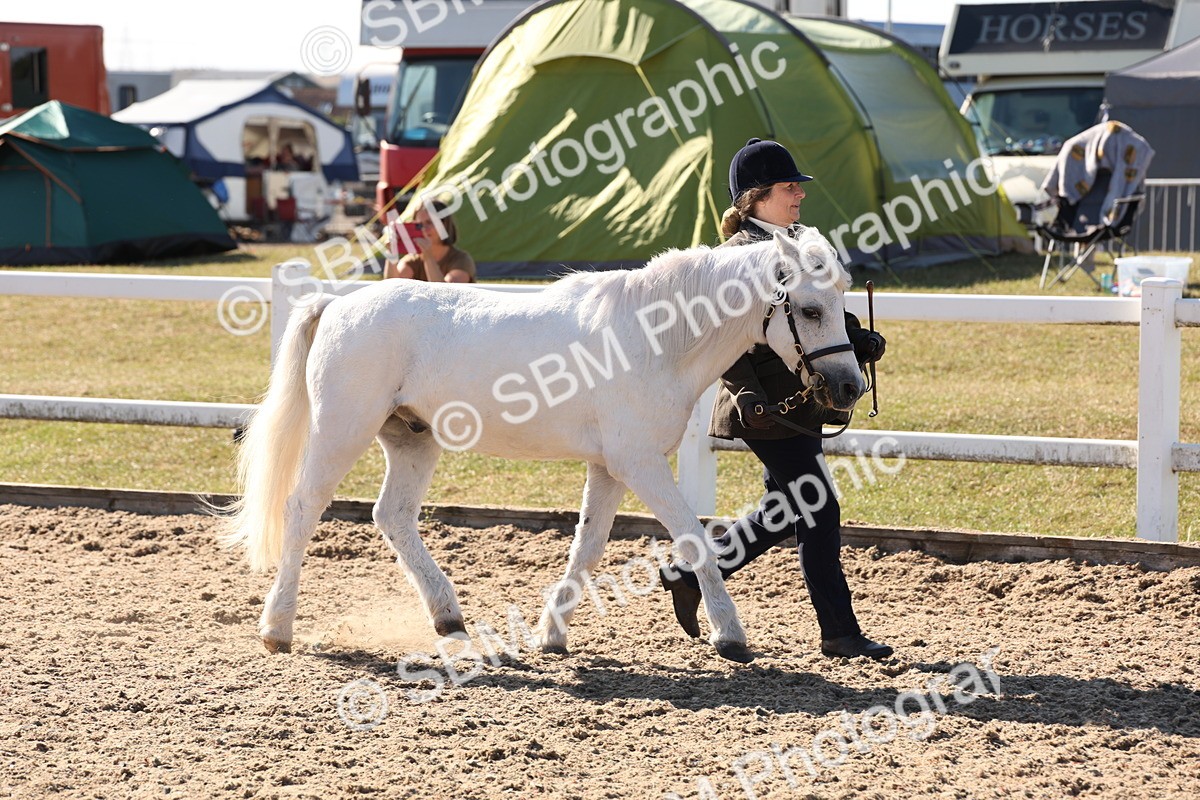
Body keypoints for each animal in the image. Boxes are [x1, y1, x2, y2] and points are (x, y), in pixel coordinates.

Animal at [218, 227, 865, 663]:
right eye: (810, 308)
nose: (848, 387)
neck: (655, 338)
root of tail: (338, 303)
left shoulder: (609, 466)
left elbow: (588, 546)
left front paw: (553, 634)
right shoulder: (639, 462)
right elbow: (692, 537)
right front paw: (730, 636)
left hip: (412, 440)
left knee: (393, 515)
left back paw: (449, 618)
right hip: (342, 430)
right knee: (302, 509)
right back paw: (277, 628)